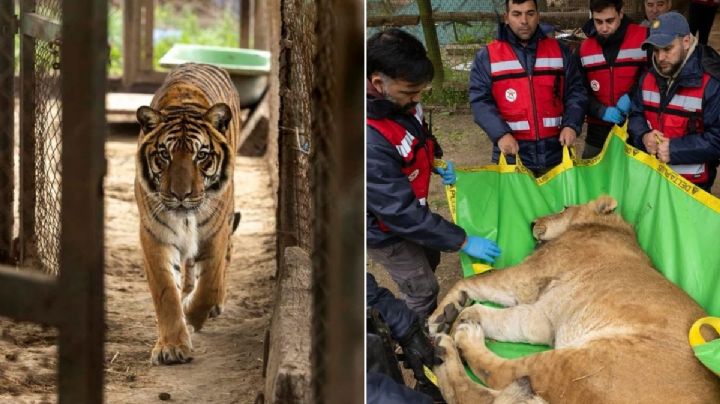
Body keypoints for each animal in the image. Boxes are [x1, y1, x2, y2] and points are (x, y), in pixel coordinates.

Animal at [134, 63, 242, 365]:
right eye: (164, 155)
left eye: (201, 155)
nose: (181, 195)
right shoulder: (155, 235)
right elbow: (165, 293)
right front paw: (172, 347)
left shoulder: (214, 233)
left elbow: (210, 286)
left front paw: (193, 315)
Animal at [430, 195, 720, 403]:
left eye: (564, 207)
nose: (532, 223)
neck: (608, 226)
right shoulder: (543, 317)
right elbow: (500, 318)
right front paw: (461, 314)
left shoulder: (526, 277)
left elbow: (475, 282)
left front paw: (440, 317)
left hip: (585, 366)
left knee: (496, 379)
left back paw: (456, 341)